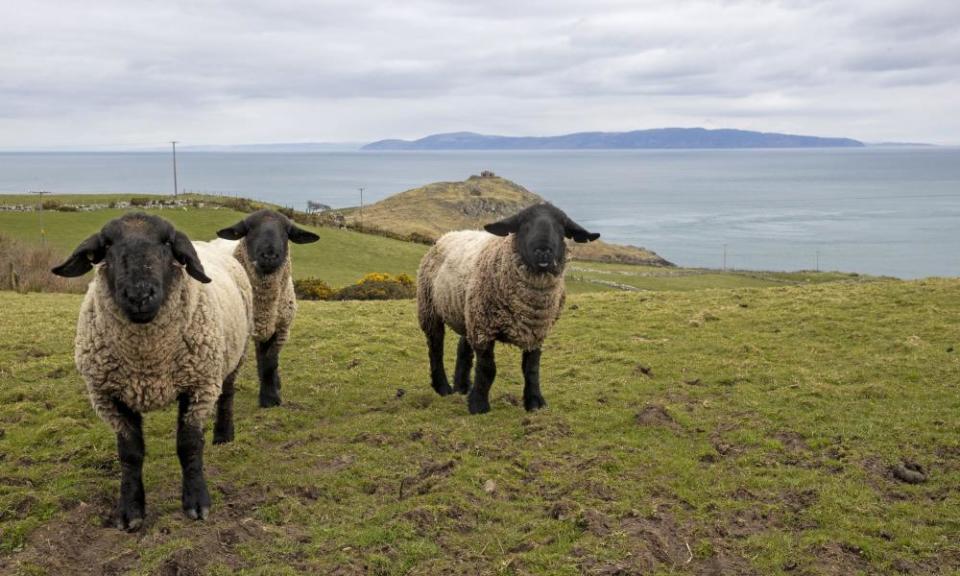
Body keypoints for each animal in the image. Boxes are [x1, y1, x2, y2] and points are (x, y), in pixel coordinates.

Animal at [51, 213, 251, 532]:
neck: (148, 361)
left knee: (228, 394)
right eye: (107, 245)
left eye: (167, 243)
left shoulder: (199, 385)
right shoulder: (109, 397)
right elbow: (130, 453)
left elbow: (189, 445)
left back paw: (223, 434)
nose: (139, 294)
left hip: (235, 353)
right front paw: (130, 511)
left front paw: (196, 502)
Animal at [214, 209, 318, 408]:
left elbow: (269, 362)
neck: (264, 304)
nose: (269, 256)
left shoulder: (277, 327)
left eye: (286, 231)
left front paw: (270, 398)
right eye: (249, 229)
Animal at [414, 202, 596, 414]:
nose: (543, 251)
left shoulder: (536, 332)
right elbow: (488, 368)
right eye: (524, 226)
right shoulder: (484, 328)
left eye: (561, 229)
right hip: (430, 308)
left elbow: (531, 369)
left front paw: (535, 402)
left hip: (467, 311)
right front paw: (478, 405)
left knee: (463, 347)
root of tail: (448, 234)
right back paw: (443, 387)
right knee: (435, 349)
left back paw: (462, 387)